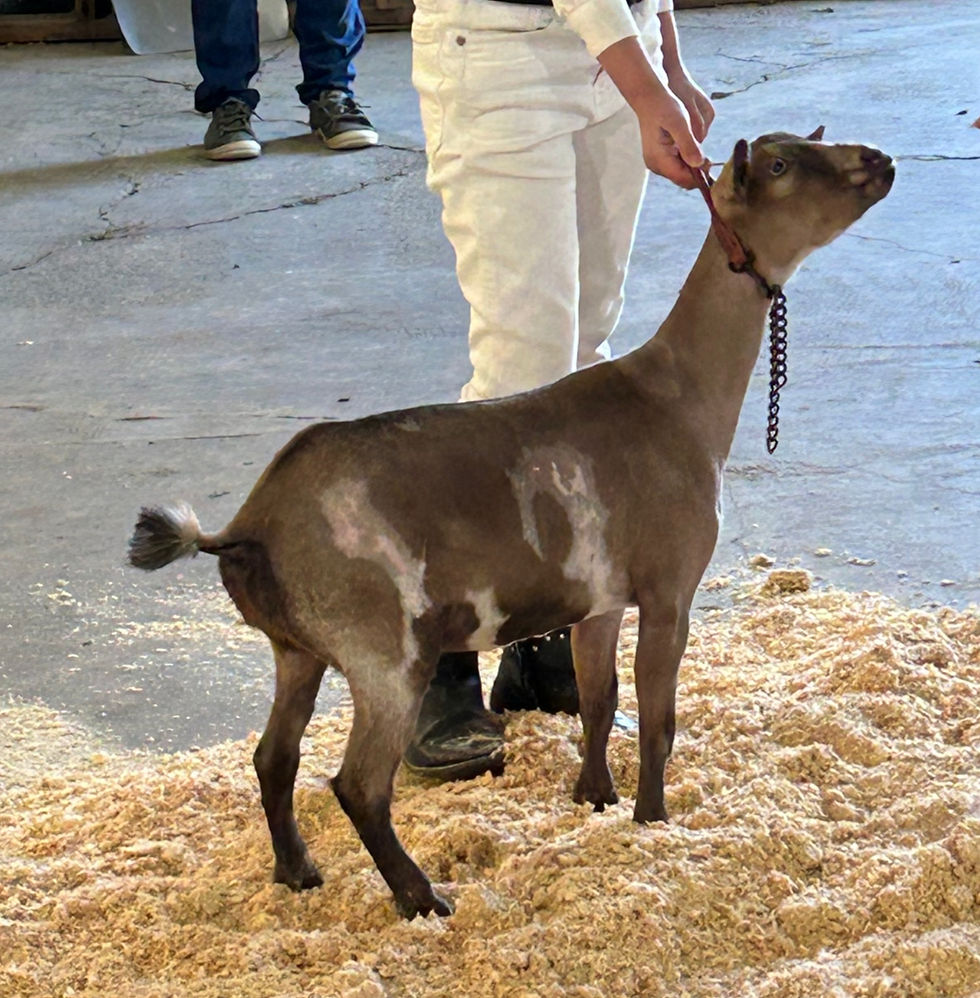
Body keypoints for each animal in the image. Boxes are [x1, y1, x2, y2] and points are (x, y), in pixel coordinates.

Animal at [129, 131, 894, 919]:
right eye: (780, 166)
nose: (882, 162)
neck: (677, 397)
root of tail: (249, 525)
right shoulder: (669, 587)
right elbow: (658, 717)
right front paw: (652, 819)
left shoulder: (601, 598)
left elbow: (598, 699)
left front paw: (594, 797)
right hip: (382, 651)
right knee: (359, 784)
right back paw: (422, 898)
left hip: (297, 649)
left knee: (274, 758)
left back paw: (298, 871)